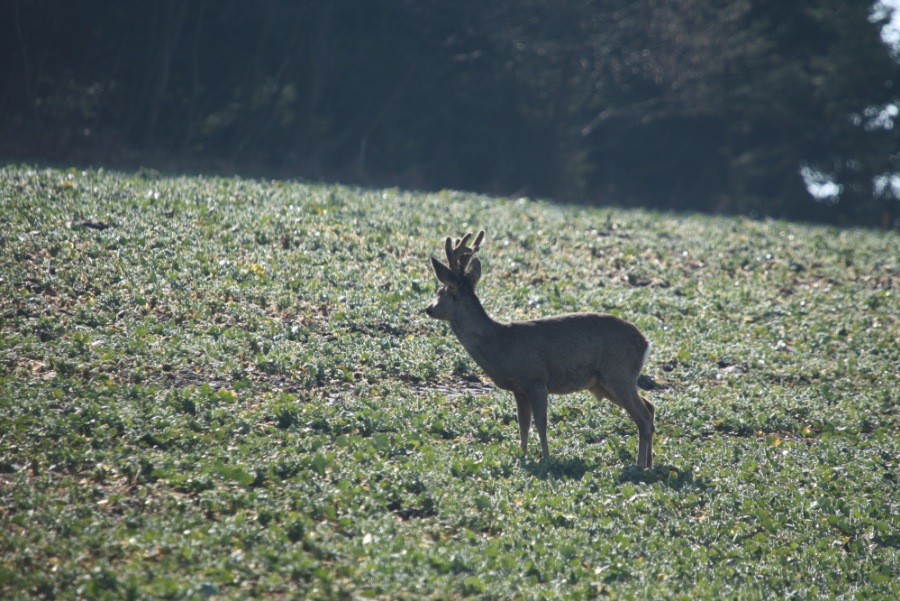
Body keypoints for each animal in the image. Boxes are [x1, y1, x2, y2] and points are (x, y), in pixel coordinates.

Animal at [425, 230, 655, 468]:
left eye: (441, 291)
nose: (428, 309)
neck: (499, 343)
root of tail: (645, 343)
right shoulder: (519, 389)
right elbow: (523, 424)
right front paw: (523, 457)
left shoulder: (536, 380)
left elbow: (540, 423)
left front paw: (546, 459)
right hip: (605, 382)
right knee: (650, 407)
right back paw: (648, 463)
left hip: (618, 374)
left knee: (643, 416)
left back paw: (639, 466)